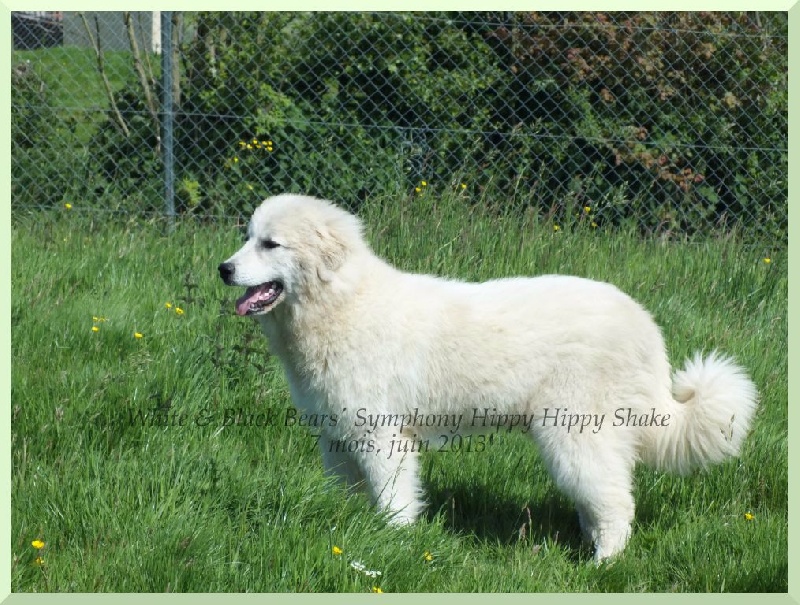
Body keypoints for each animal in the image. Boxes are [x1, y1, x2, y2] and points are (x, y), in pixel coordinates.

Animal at [219, 193, 756, 560]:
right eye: (247, 236)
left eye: (270, 244)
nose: (223, 268)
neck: (342, 304)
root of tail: (643, 324)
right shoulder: (335, 436)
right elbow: (349, 496)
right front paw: (349, 530)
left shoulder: (383, 436)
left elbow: (394, 501)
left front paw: (393, 545)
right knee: (602, 497)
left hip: (576, 433)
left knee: (615, 503)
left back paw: (604, 566)